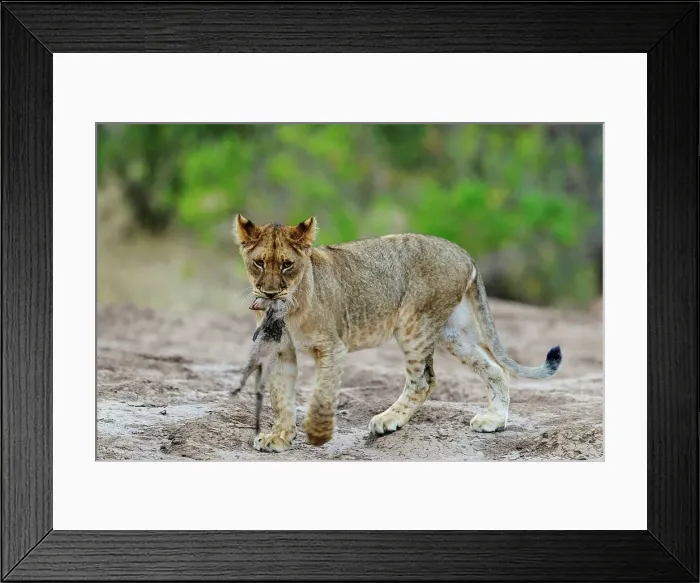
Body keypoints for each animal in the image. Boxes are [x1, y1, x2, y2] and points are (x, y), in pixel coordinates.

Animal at [234, 214, 562, 452]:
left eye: (287, 265)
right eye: (259, 262)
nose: (270, 293)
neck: (289, 308)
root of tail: (463, 252)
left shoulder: (332, 347)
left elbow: (323, 393)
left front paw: (316, 435)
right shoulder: (280, 350)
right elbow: (281, 396)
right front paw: (279, 438)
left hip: (413, 322)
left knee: (424, 380)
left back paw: (388, 420)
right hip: (453, 332)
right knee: (496, 368)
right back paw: (494, 421)